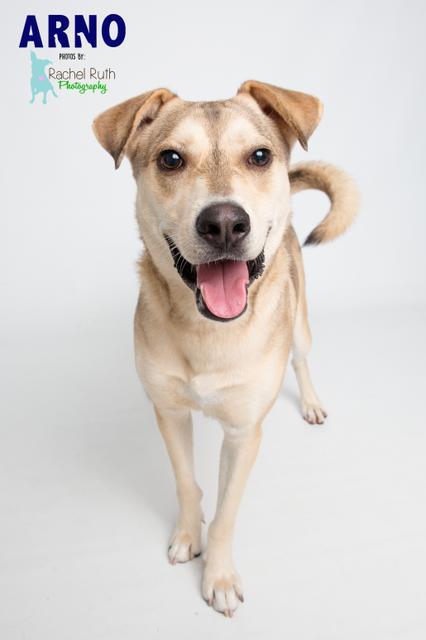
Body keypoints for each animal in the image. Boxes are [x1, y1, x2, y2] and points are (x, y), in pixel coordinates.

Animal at [94, 80, 360, 616]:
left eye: (259, 155)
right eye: (171, 159)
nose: (223, 223)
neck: (210, 332)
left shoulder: (243, 434)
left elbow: (226, 512)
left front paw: (217, 576)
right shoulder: (169, 412)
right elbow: (186, 483)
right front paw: (185, 535)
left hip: (300, 326)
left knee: (302, 359)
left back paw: (312, 403)